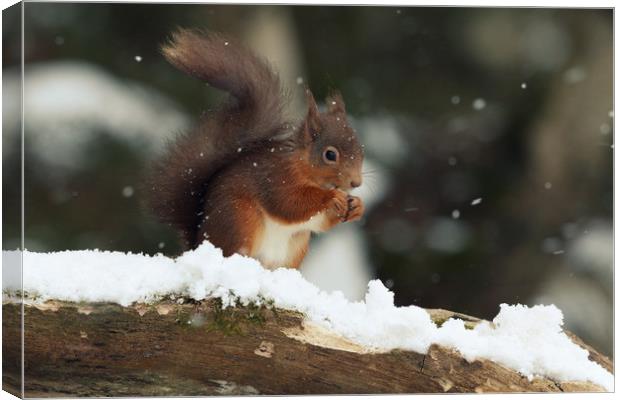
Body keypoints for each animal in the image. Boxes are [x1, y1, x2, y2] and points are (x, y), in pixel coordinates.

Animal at [147, 29, 364, 268]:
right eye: (330, 154)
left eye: (361, 151)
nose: (356, 183)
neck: (305, 169)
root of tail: (198, 245)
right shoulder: (276, 178)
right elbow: (289, 204)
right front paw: (331, 197)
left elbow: (319, 222)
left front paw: (357, 206)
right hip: (240, 221)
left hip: (294, 247)